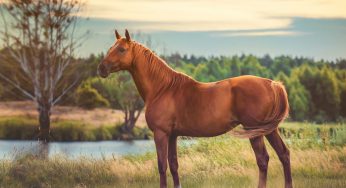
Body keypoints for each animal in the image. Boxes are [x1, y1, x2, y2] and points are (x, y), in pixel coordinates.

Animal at [98, 29, 292, 188]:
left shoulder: (161, 134)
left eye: (121, 49)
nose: (101, 69)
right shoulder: (172, 135)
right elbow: (174, 165)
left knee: (263, 160)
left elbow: (162, 166)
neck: (163, 89)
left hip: (255, 131)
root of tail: (271, 83)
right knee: (283, 154)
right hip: (269, 129)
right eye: (111, 47)